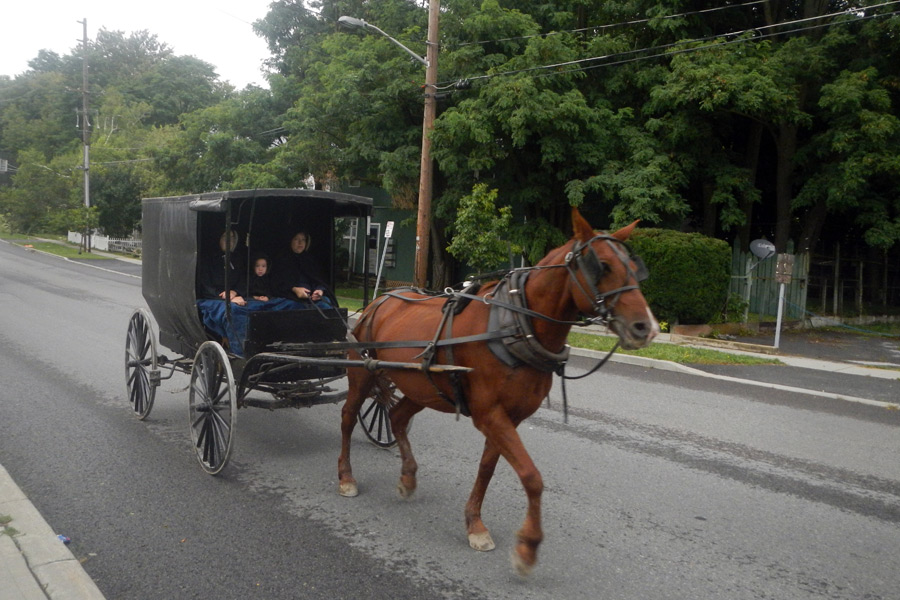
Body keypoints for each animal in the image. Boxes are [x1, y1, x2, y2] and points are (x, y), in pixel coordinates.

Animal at [336, 209, 652, 576]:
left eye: (634, 267)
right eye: (602, 265)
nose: (645, 327)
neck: (515, 327)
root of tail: (379, 300)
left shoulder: (507, 417)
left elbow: (487, 469)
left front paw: (474, 524)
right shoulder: (490, 414)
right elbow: (531, 476)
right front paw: (528, 546)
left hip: (420, 387)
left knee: (397, 417)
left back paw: (408, 477)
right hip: (363, 374)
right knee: (348, 417)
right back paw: (346, 476)